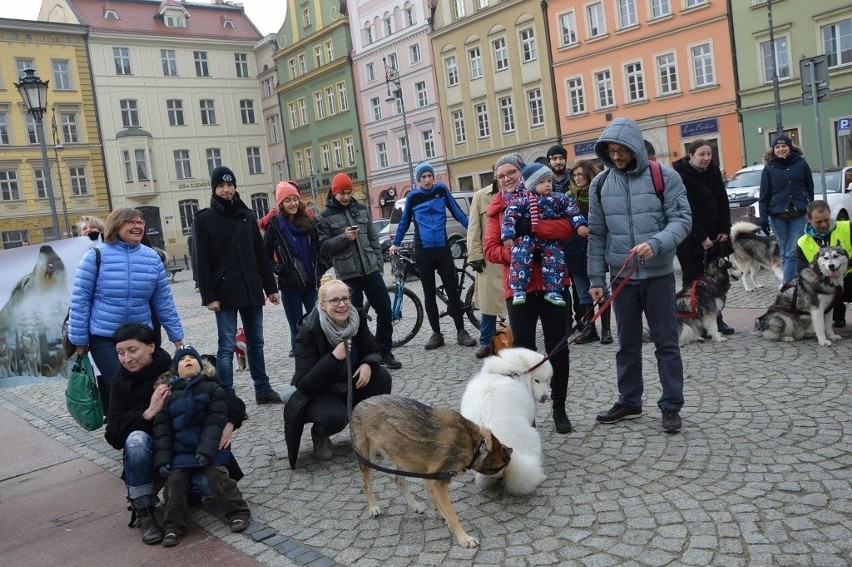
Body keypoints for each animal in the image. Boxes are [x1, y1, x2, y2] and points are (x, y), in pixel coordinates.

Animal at [348, 392, 510, 548]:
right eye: (502, 467)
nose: (503, 482)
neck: (475, 444)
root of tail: (358, 405)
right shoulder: (437, 482)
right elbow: (452, 514)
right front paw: (464, 538)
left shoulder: (431, 479)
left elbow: (436, 501)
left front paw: (440, 514)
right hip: (368, 459)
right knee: (366, 484)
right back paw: (373, 507)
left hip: (403, 457)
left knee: (398, 480)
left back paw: (415, 505)